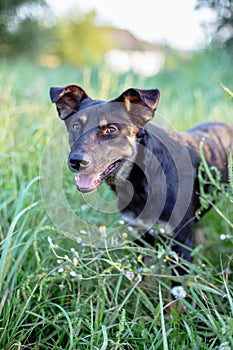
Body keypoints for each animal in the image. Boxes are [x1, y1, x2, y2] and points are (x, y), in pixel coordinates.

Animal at [49, 85, 233, 292]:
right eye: (75, 126)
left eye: (111, 129)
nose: (76, 161)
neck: (141, 183)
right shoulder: (140, 234)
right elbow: (141, 277)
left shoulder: (180, 242)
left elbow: (176, 293)